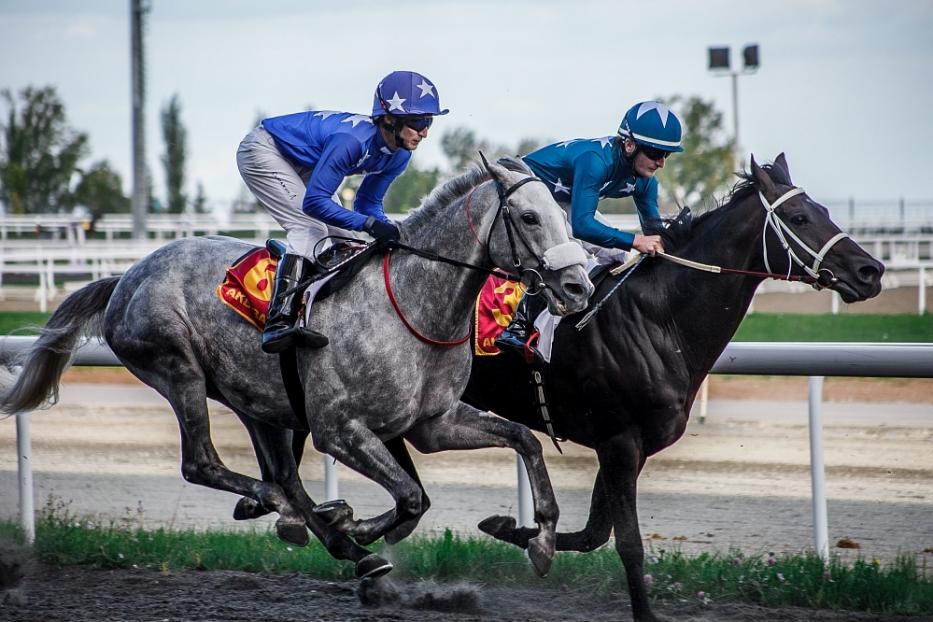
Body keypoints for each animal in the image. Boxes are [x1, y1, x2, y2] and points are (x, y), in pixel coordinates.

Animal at [462, 154, 884, 620]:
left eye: (824, 211)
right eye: (799, 218)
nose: (871, 271)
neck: (657, 318)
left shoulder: (633, 444)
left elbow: (595, 533)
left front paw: (513, 530)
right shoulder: (618, 441)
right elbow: (628, 543)